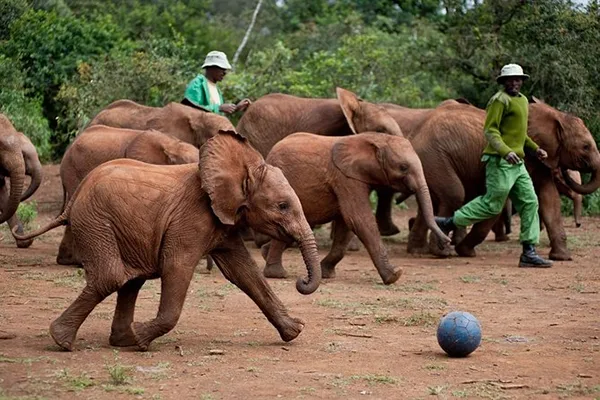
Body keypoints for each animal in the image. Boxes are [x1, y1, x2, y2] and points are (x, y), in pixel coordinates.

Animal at [262, 132, 450, 284]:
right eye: (403, 167)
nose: (446, 242)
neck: (376, 139)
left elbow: (346, 225)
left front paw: (326, 273)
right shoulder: (346, 178)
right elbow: (358, 219)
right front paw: (394, 275)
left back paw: (265, 253)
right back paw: (276, 274)